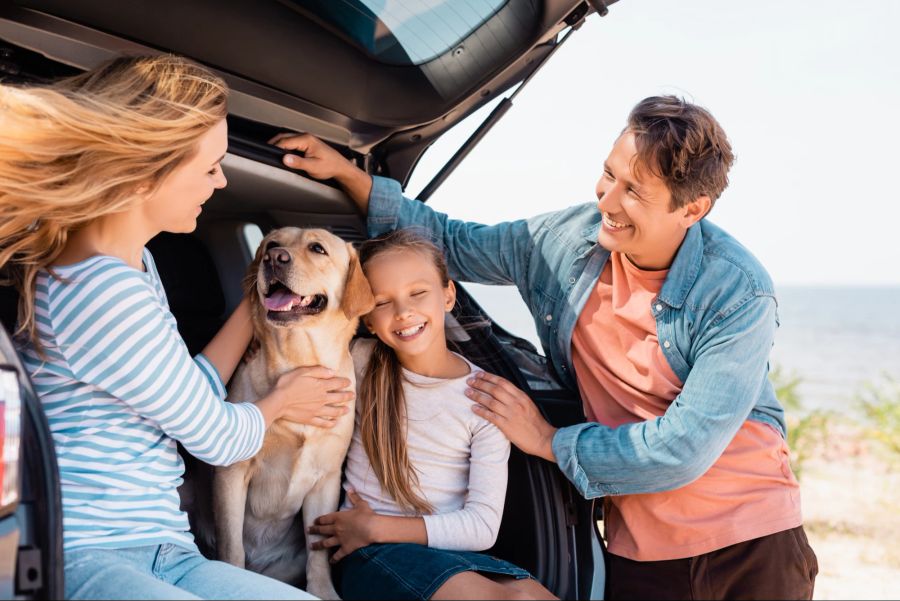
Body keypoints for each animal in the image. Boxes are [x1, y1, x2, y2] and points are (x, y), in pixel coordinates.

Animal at [203, 227, 372, 596]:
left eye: (318, 248)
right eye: (271, 244)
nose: (273, 259)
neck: (300, 359)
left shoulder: (326, 479)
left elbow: (317, 553)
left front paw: (322, 591)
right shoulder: (232, 472)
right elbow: (231, 547)